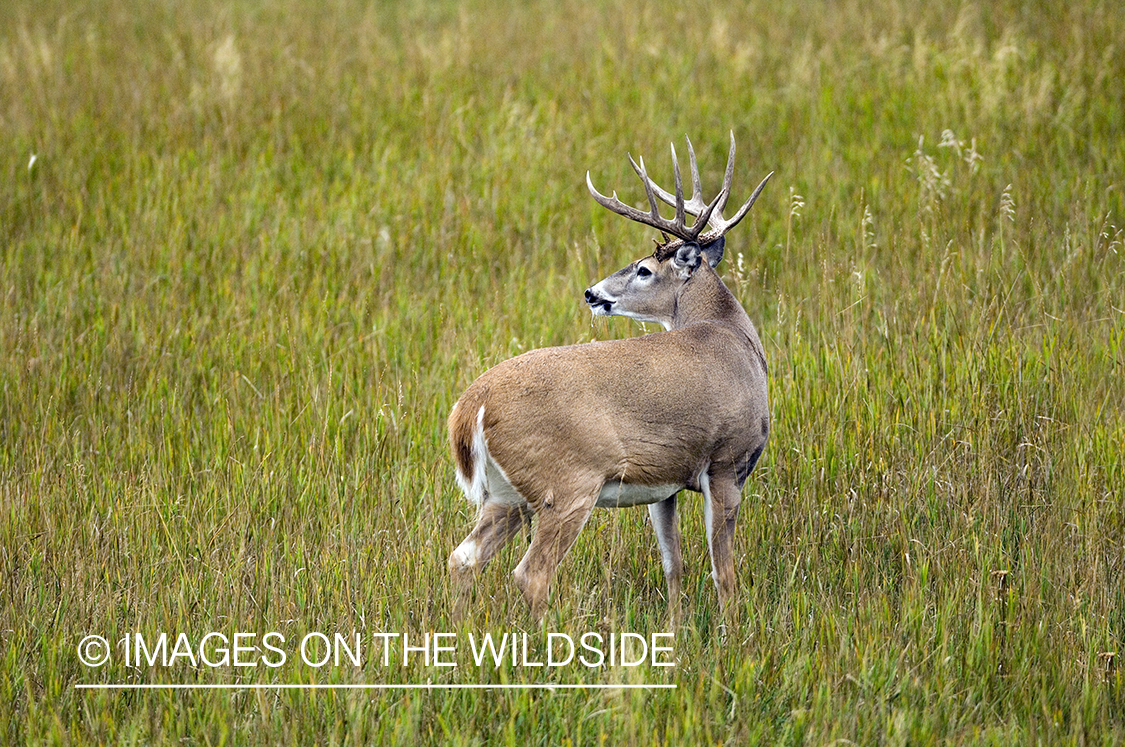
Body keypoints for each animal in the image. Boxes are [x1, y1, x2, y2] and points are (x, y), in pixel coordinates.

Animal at [447, 134, 774, 625]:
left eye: (643, 269)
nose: (591, 293)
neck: (731, 335)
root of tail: (471, 408)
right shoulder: (727, 462)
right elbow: (725, 574)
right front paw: (731, 632)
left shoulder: (664, 482)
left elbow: (673, 564)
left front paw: (676, 630)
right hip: (567, 484)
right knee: (531, 573)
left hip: (506, 494)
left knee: (463, 558)